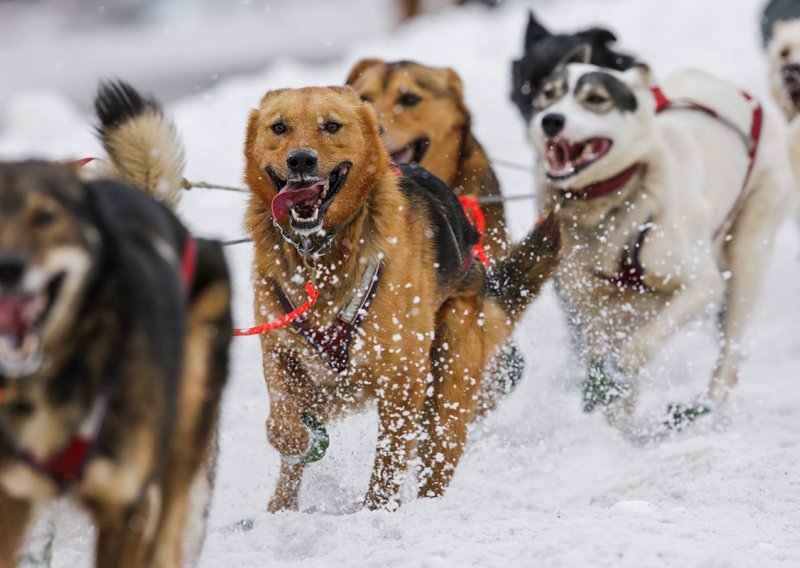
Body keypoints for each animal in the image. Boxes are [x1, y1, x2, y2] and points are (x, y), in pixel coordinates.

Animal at [245, 86, 564, 512]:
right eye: (279, 127)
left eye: (331, 126)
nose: (300, 160)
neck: (320, 254)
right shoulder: (280, 351)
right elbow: (282, 425)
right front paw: (301, 441)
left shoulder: (402, 376)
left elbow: (389, 460)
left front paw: (375, 511)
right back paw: (281, 507)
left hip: (447, 388)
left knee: (433, 459)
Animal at [528, 46, 796, 430]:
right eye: (548, 95)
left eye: (595, 99)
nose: (551, 120)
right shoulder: (593, 306)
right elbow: (600, 354)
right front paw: (612, 423)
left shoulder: (702, 284)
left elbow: (641, 345)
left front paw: (622, 369)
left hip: (748, 256)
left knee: (729, 354)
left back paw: (708, 408)